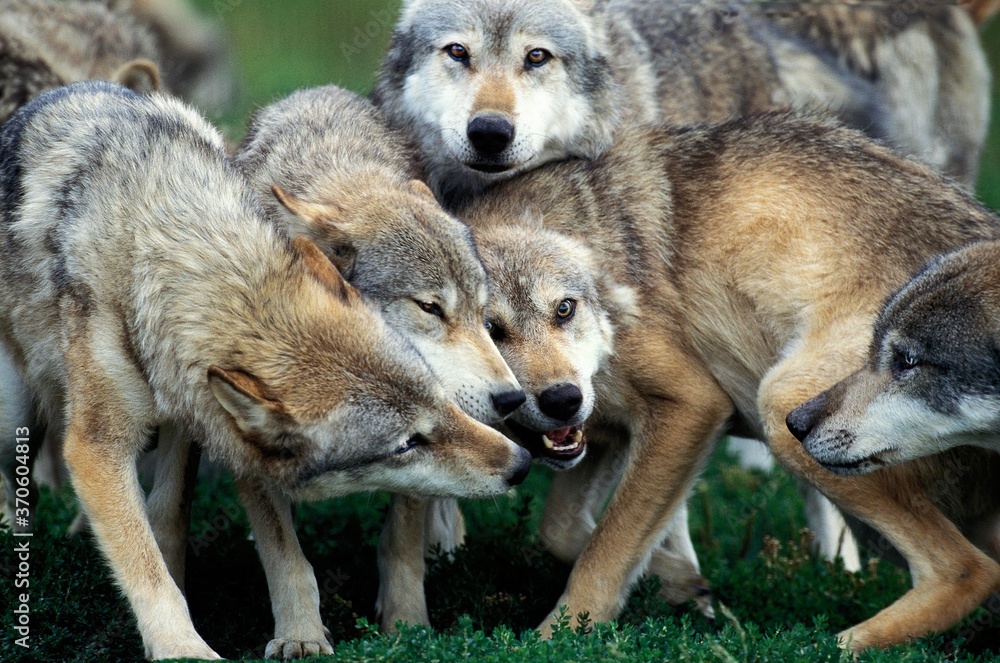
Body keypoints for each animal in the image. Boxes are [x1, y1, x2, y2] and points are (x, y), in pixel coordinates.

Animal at [0, 82, 530, 660]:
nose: (521, 453)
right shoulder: (106, 444)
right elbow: (188, 558)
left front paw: (407, 629)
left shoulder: (202, 414)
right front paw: (203, 645)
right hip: (14, 421)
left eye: (484, 315)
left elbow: (167, 522)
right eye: (430, 309)